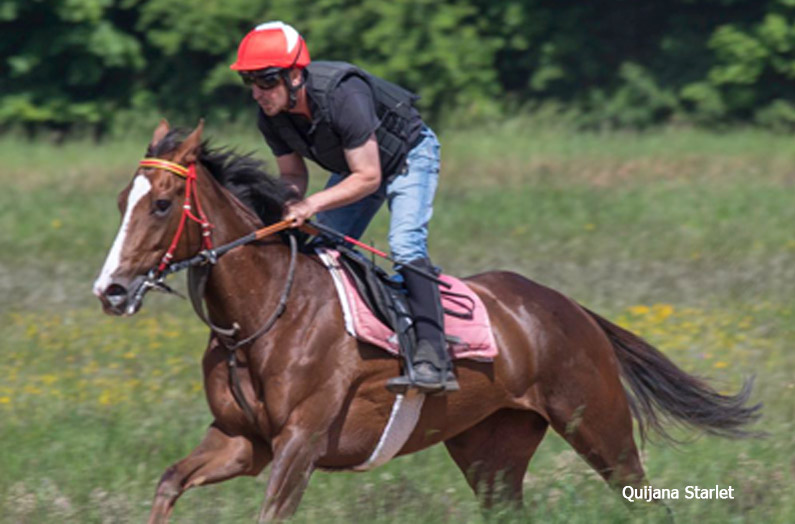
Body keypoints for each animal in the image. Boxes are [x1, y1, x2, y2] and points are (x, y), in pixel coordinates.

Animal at [91, 121, 760, 520]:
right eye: (122, 201)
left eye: (162, 204)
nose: (111, 290)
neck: (265, 314)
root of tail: (569, 309)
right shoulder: (240, 440)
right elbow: (169, 481)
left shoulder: (299, 442)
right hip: (491, 450)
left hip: (599, 425)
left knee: (644, 499)